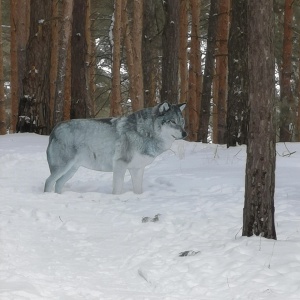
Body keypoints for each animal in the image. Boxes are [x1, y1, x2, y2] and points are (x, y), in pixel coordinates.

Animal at [43, 101, 186, 195]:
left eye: (182, 122)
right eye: (173, 121)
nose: (185, 134)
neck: (146, 131)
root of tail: (55, 128)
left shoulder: (137, 169)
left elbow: (138, 190)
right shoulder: (120, 165)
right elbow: (117, 190)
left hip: (72, 170)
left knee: (58, 183)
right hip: (63, 168)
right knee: (48, 182)